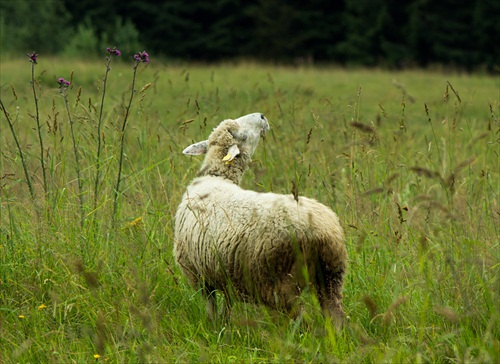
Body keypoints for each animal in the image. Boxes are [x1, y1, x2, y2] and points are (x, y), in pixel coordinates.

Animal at [173, 112, 348, 326]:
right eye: (242, 135)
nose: (262, 116)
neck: (216, 176)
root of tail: (319, 231)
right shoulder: (224, 272)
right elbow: (227, 305)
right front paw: (224, 324)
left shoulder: (200, 275)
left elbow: (211, 308)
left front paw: (214, 325)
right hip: (331, 274)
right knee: (335, 315)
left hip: (281, 281)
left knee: (300, 320)